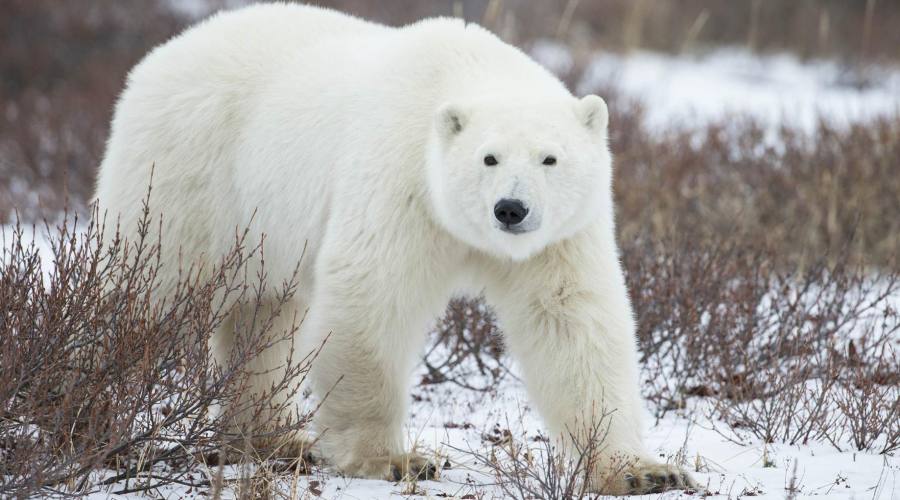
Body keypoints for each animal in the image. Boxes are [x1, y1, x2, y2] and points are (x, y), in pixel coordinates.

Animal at [93, 2, 696, 496]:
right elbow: (372, 298)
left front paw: (643, 471)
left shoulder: (559, 238)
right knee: (142, 290)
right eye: (489, 157)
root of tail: (161, 56)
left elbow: (572, 321)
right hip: (185, 175)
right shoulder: (401, 181)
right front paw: (394, 459)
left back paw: (273, 438)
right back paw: (92, 411)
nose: (511, 209)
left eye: (550, 158)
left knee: (261, 319)